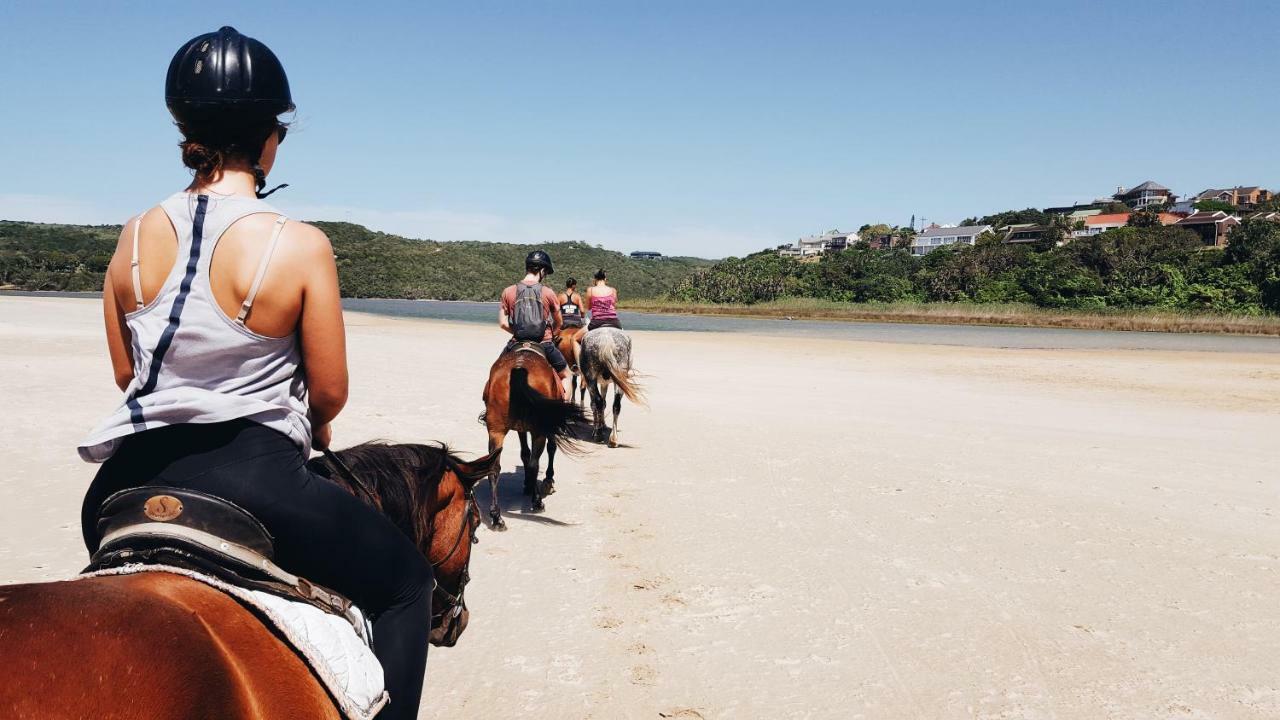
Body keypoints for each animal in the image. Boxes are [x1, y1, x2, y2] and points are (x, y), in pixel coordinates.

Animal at [481, 340, 586, 527]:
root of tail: (519, 368)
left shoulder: (522, 429)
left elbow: (524, 453)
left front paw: (528, 484)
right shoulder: (547, 427)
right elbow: (549, 450)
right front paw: (547, 481)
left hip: (495, 431)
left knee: (494, 468)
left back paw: (496, 516)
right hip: (539, 431)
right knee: (535, 462)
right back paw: (537, 501)